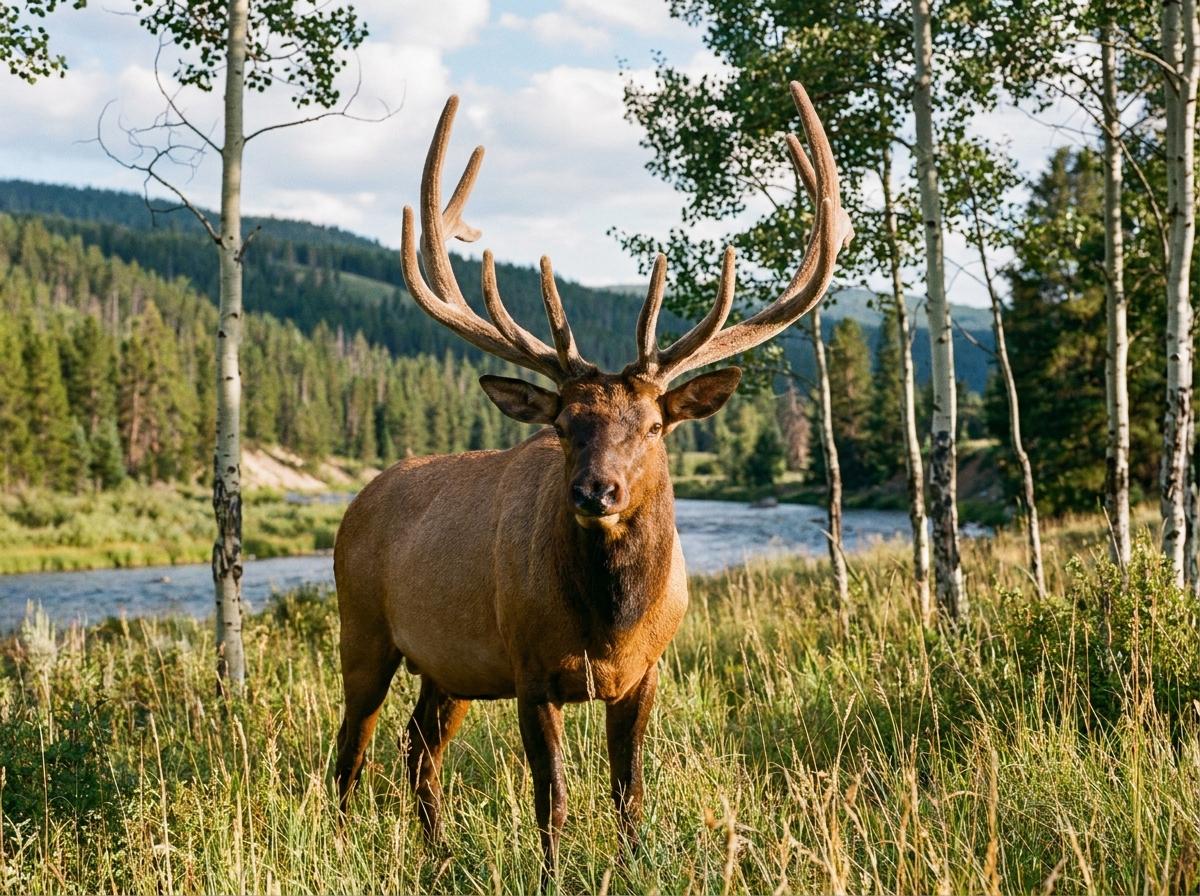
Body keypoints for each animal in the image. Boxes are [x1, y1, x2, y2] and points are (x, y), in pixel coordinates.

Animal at [333, 80, 851, 884]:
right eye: (563, 424)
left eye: (654, 424)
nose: (594, 493)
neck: (608, 624)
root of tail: (357, 502)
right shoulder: (529, 668)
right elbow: (552, 800)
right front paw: (550, 876)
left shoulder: (646, 673)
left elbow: (627, 790)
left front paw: (633, 865)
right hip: (362, 630)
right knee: (348, 751)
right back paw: (340, 846)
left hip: (447, 666)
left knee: (418, 746)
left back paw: (439, 857)